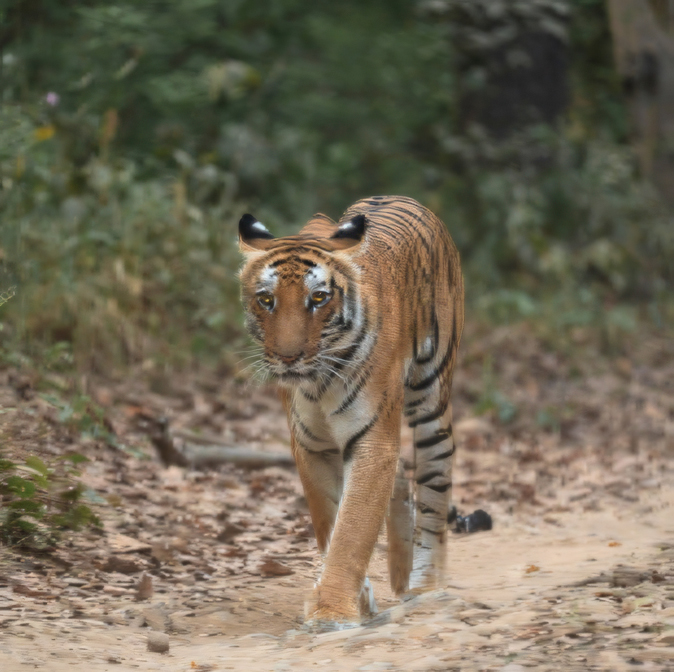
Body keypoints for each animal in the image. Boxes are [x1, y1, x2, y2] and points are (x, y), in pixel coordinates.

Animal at [238, 195, 464, 628]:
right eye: (266, 299)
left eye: (318, 298)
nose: (288, 357)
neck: (318, 382)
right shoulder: (311, 445)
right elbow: (331, 521)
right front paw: (355, 600)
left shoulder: (372, 439)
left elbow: (352, 528)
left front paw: (332, 611)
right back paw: (401, 574)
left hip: (431, 393)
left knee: (435, 477)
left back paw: (426, 584)